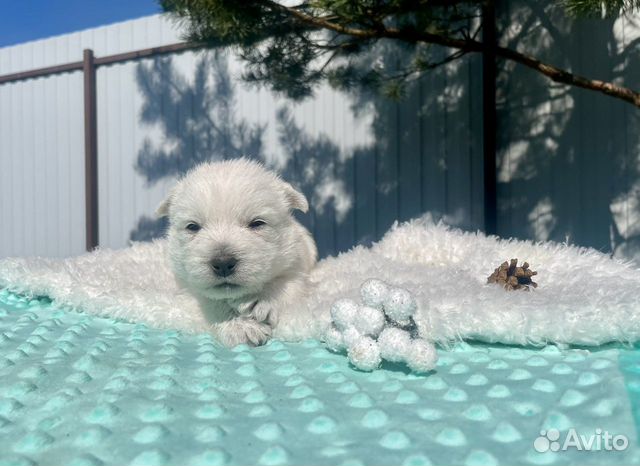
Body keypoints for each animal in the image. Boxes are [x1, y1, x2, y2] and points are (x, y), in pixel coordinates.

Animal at [158, 159, 318, 346]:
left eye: (257, 223)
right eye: (192, 226)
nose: (223, 263)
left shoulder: (296, 263)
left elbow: (287, 284)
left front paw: (261, 299)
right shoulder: (189, 286)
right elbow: (211, 301)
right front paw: (242, 327)